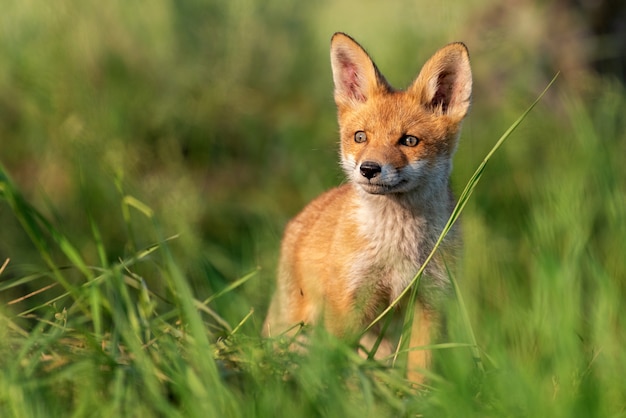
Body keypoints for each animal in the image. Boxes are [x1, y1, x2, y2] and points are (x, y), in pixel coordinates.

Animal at [260, 32, 470, 382]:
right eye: (360, 137)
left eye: (409, 141)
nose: (369, 169)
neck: (397, 248)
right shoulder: (350, 304)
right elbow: (341, 370)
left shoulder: (431, 301)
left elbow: (419, 373)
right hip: (299, 325)